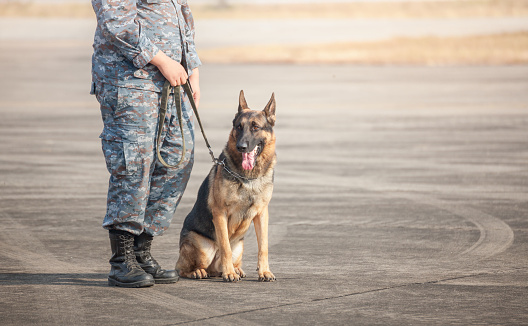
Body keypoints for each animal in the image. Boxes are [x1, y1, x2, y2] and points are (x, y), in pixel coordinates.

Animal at [176, 90, 276, 282]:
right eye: (238, 127)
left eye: (255, 127)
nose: (241, 146)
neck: (248, 178)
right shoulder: (220, 213)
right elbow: (225, 247)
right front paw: (228, 273)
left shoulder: (262, 213)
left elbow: (264, 247)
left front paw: (264, 271)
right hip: (203, 248)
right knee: (182, 268)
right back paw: (201, 271)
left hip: (239, 246)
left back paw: (237, 270)